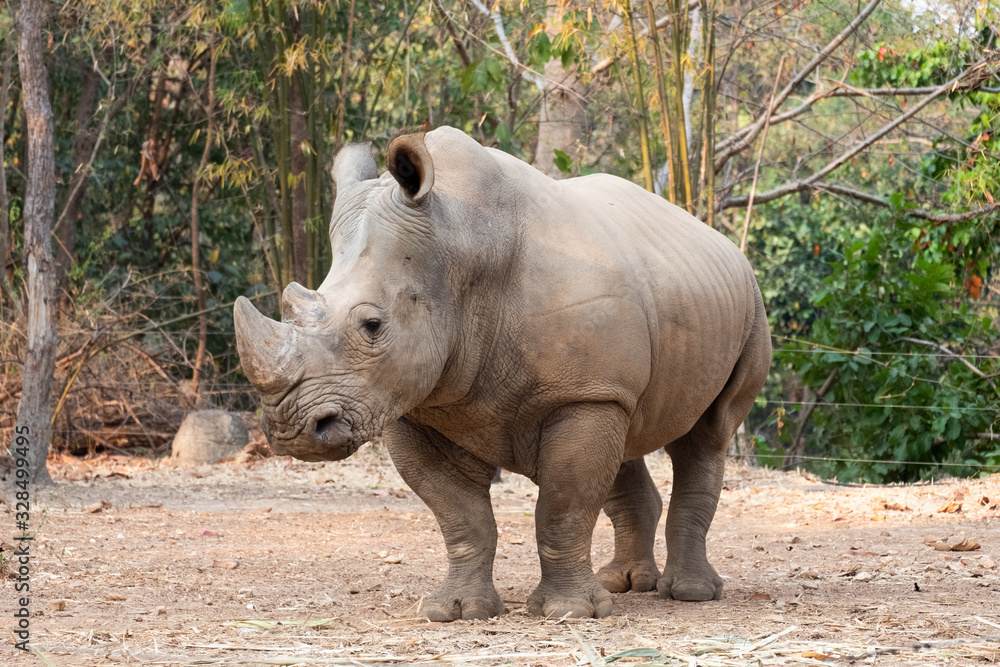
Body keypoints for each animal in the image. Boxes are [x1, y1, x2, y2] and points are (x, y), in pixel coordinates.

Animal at [234, 126, 771, 621]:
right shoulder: (412, 402)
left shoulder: (580, 393)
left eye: (372, 325)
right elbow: (460, 515)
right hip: (646, 329)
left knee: (708, 434)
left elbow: (564, 505)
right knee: (629, 434)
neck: (458, 247)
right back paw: (623, 584)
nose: (291, 429)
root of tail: (714, 236)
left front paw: (567, 613)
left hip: (750, 305)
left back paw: (690, 594)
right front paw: (456, 611)